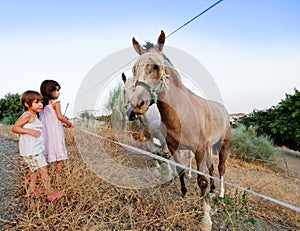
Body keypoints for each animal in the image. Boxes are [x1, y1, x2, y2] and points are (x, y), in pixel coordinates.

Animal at [128, 30, 230, 229]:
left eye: (156, 67)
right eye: (134, 69)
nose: (137, 104)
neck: (183, 112)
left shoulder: (198, 150)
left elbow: (201, 181)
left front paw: (206, 219)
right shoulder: (174, 147)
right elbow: (180, 170)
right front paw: (183, 194)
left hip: (223, 145)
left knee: (221, 167)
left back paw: (221, 192)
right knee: (212, 167)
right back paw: (213, 190)